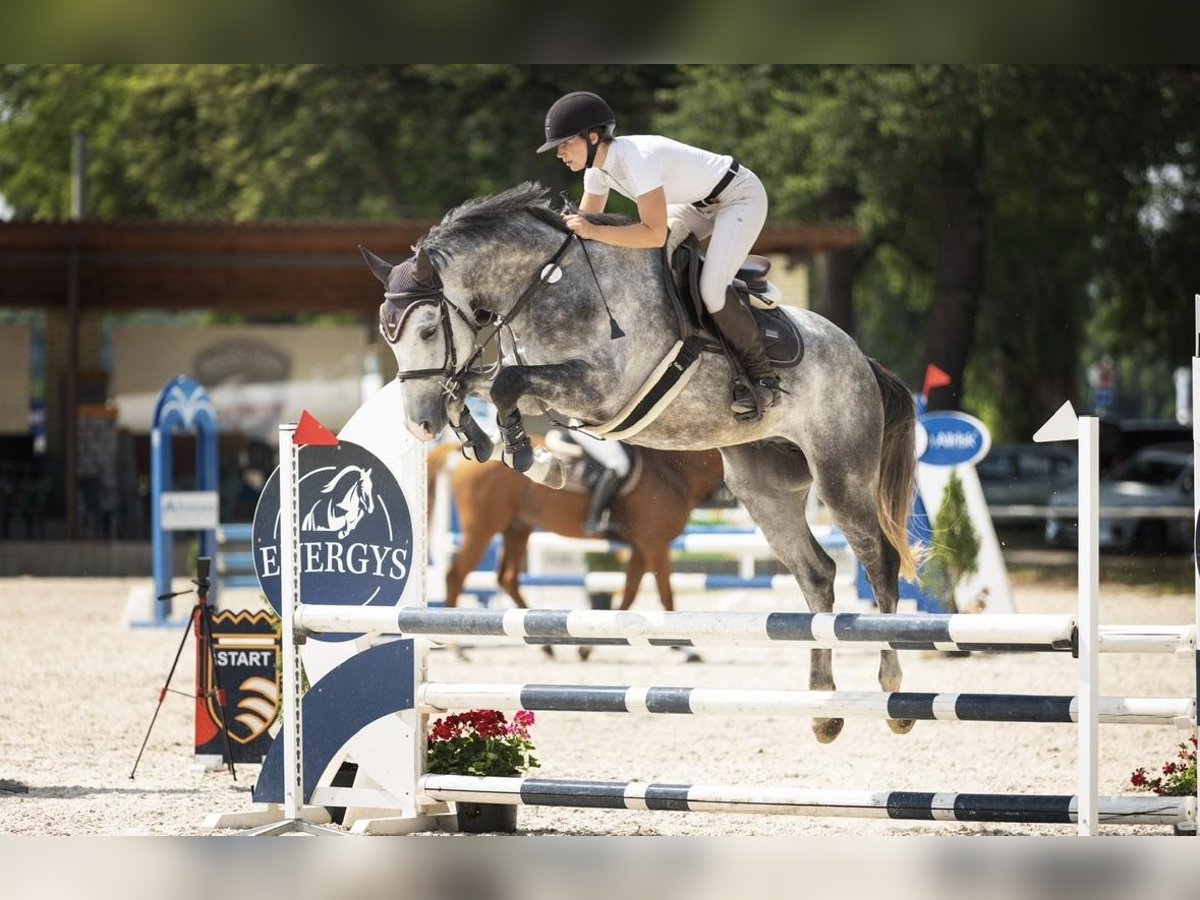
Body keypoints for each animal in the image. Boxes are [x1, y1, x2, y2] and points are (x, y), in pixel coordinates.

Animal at [362, 183, 916, 748]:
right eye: (388, 336)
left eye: (428, 329)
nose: (420, 425)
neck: (548, 286)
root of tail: (861, 359)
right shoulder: (544, 390)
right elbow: (481, 385)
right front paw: (518, 453)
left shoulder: (599, 390)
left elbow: (502, 384)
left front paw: (524, 454)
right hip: (763, 488)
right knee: (817, 574)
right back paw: (824, 709)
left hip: (840, 474)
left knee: (879, 563)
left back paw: (893, 693)